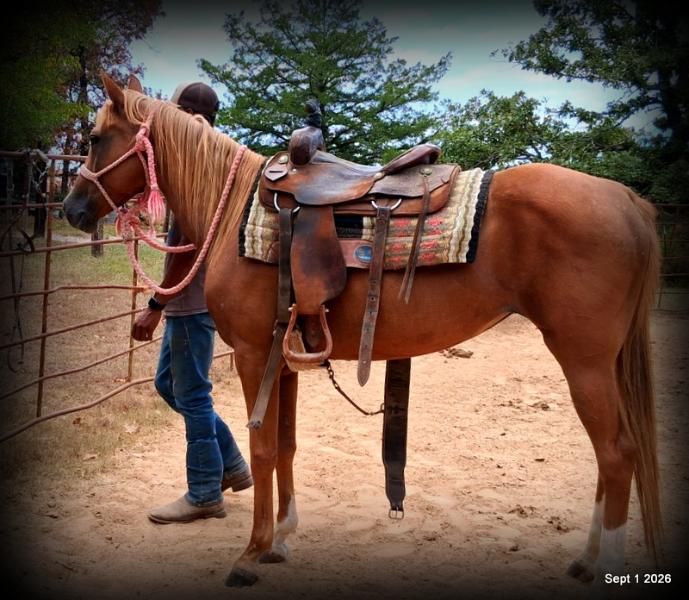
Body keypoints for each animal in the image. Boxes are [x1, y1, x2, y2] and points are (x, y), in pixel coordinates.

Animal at [63, 74, 661, 589]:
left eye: (94, 138)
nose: (71, 208)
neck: (231, 212)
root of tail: (627, 200)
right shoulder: (285, 358)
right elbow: (286, 446)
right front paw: (282, 539)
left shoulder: (255, 356)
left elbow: (262, 449)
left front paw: (251, 553)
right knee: (612, 457)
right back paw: (587, 560)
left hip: (583, 360)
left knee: (616, 454)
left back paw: (601, 565)